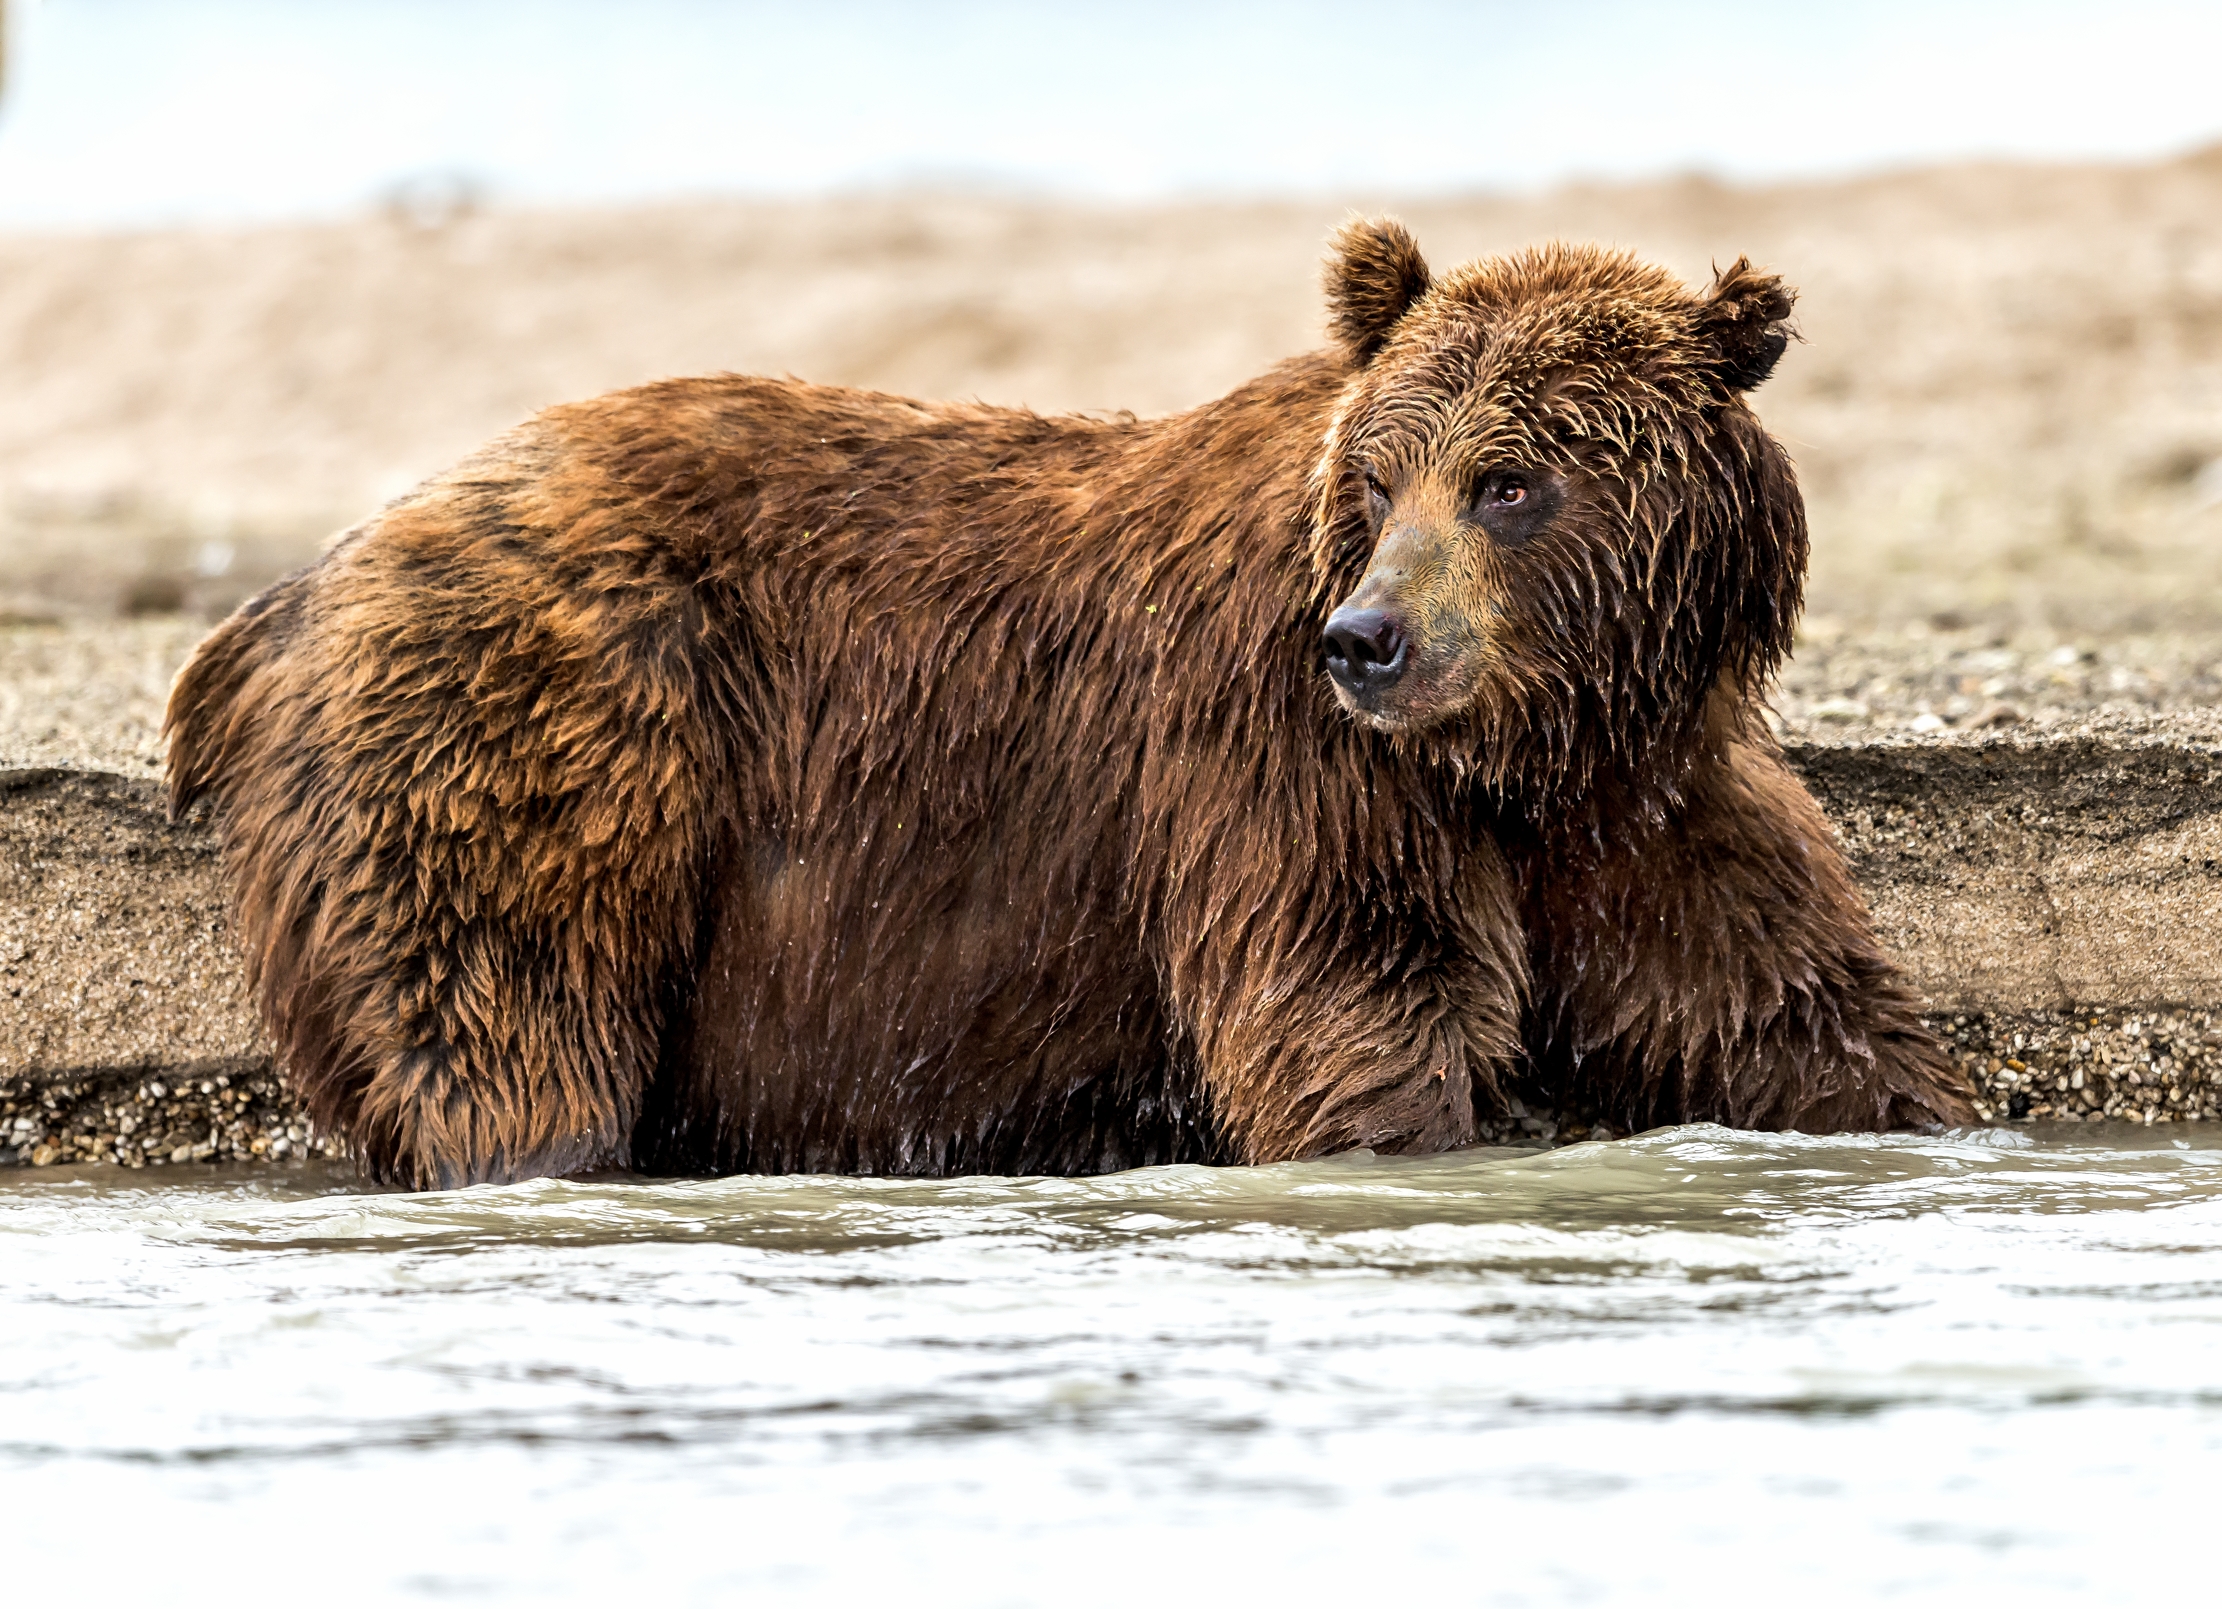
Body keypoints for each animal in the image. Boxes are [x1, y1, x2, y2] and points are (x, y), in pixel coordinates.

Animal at [165, 220, 1975, 1189]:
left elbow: (1780, 1002)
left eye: (1510, 482)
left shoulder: (1640, 798)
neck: (1530, 736)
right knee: (509, 1022)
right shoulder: (1282, 760)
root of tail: (296, 591)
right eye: (1382, 478)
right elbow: (1356, 997)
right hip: (550, 733)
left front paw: (1919, 1127)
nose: (1370, 639)